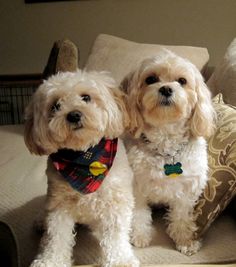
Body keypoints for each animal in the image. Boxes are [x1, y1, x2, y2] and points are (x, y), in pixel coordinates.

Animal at [24, 70, 138, 267]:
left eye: (86, 97)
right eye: (55, 106)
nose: (74, 115)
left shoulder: (115, 204)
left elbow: (115, 236)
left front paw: (120, 260)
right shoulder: (59, 206)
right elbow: (56, 237)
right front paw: (50, 260)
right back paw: (40, 221)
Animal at [121, 50, 216, 258]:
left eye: (182, 81)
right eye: (150, 79)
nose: (165, 89)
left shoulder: (187, 189)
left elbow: (182, 217)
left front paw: (185, 240)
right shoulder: (137, 185)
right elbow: (139, 213)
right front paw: (140, 236)